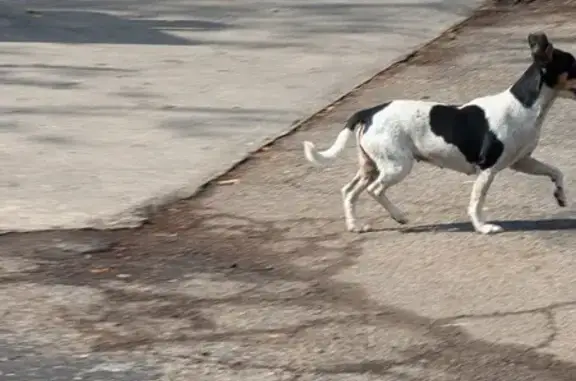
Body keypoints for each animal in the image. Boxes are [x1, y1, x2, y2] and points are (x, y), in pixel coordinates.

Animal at [302, 32, 576, 233]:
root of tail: (369, 112)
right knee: (375, 190)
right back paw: (399, 217)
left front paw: (561, 196)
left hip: (371, 165)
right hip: (397, 166)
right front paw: (483, 227)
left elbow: (556, 172)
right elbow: (477, 202)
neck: (523, 106)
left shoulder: (521, 162)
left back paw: (355, 226)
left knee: (349, 191)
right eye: (573, 64)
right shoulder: (487, 169)